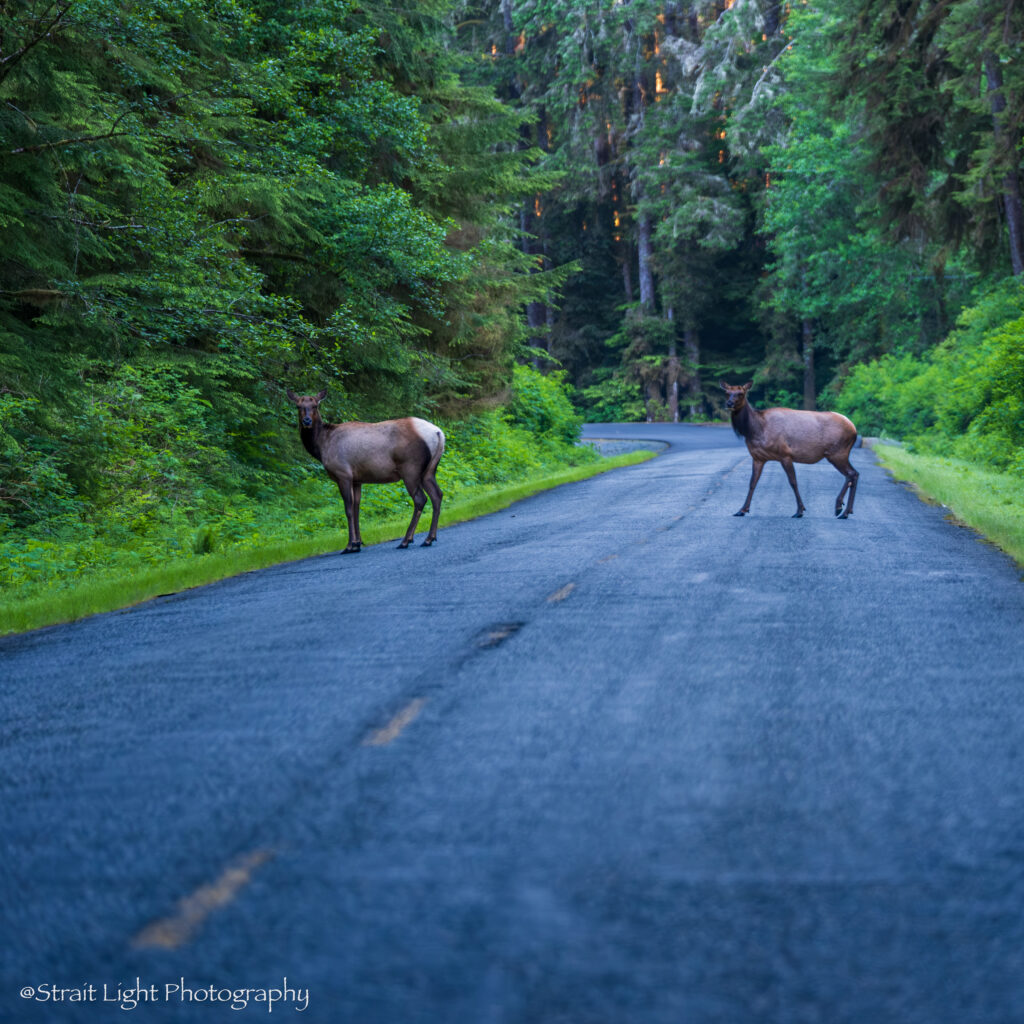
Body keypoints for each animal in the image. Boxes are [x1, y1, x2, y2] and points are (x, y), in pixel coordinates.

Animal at [286, 389, 445, 553]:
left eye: (315, 405)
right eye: (298, 406)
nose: (306, 421)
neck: (321, 446)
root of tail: (438, 433)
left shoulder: (343, 474)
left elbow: (348, 509)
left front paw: (349, 545)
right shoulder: (357, 479)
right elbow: (357, 508)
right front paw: (358, 543)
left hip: (410, 469)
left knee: (420, 499)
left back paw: (406, 540)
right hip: (428, 471)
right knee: (437, 495)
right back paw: (429, 538)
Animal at [720, 381, 859, 519]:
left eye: (741, 393)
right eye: (727, 392)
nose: (729, 403)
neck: (754, 430)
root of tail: (854, 428)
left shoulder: (785, 454)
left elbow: (793, 482)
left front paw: (799, 510)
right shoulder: (758, 457)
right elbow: (752, 483)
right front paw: (741, 510)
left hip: (837, 453)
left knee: (851, 474)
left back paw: (841, 508)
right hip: (839, 454)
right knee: (853, 474)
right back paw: (845, 510)